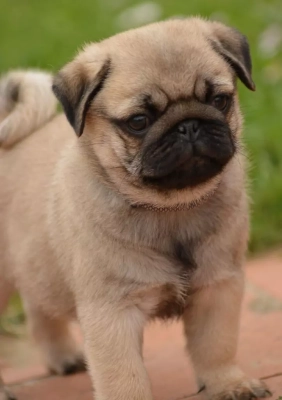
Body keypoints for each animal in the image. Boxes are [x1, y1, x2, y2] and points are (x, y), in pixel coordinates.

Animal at [0, 17, 272, 400]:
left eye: (219, 100)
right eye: (139, 121)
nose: (189, 125)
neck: (172, 208)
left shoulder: (217, 287)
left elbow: (216, 346)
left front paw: (228, 383)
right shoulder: (112, 312)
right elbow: (124, 377)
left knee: (39, 309)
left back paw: (63, 357)